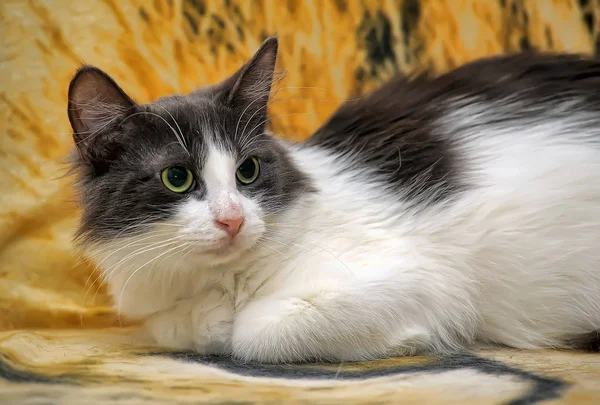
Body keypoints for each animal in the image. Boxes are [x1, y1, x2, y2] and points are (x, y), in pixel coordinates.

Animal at [68, 36, 600, 362]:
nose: (233, 220)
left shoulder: (427, 279)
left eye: (247, 171)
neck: (220, 281)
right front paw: (204, 319)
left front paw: (411, 340)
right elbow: (171, 325)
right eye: (177, 177)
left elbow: (253, 333)